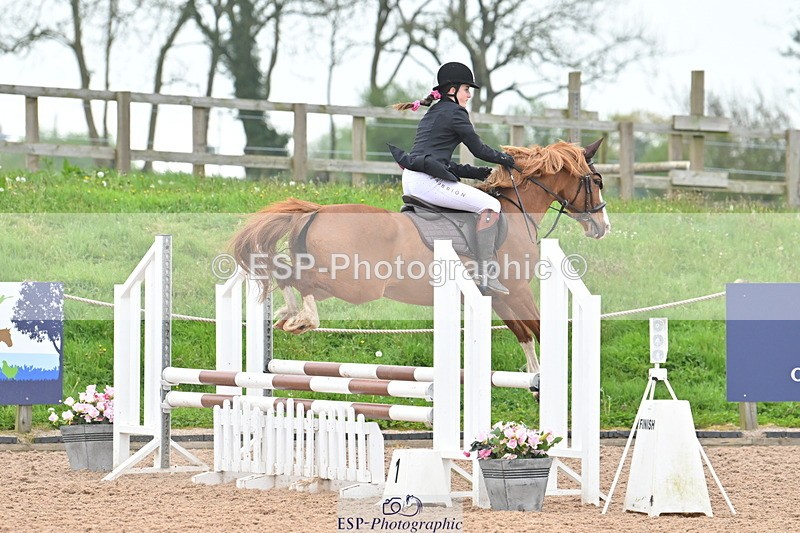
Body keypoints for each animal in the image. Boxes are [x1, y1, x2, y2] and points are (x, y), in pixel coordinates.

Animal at [231, 139, 609, 373]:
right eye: (597, 181)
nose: (603, 226)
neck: (517, 212)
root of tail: (317, 210)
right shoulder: (517, 292)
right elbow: (541, 330)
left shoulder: (499, 297)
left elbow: (525, 335)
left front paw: (537, 380)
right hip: (357, 285)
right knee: (296, 278)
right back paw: (302, 317)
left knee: (286, 273)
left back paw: (289, 314)